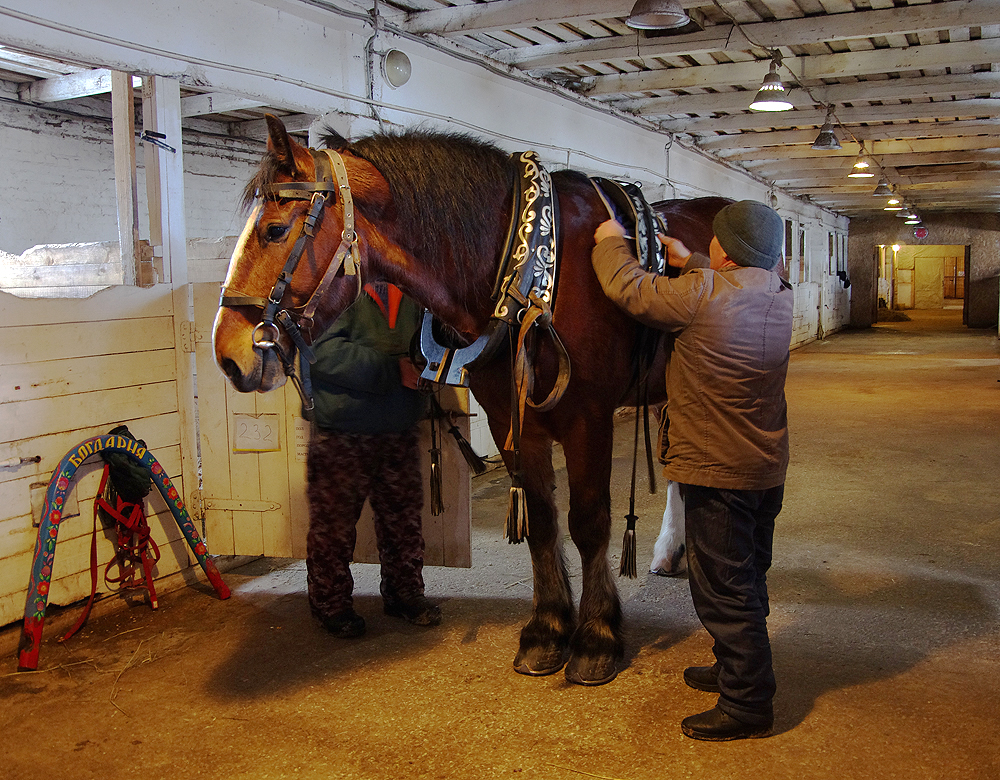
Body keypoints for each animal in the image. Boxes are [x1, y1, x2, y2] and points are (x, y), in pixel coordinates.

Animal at [213, 114, 728, 684]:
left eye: (275, 231)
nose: (229, 354)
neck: (533, 273)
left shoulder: (588, 419)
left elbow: (589, 523)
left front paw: (596, 639)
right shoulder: (512, 421)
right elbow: (542, 522)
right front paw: (547, 631)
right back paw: (671, 551)